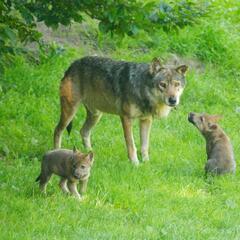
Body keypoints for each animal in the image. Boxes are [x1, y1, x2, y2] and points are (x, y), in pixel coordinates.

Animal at [53, 56, 188, 165]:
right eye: (163, 84)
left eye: (177, 84)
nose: (173, 100)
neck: (141, 88)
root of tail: (72, 65)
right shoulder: (126, 118)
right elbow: (131, 144)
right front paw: (135, 163)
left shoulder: (146, 120)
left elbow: (144, 145)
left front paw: (146, 163)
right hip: (70, 112)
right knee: (58, 130)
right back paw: (56, 151)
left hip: (96, 115)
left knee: (83, 131)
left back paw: (89, 155)